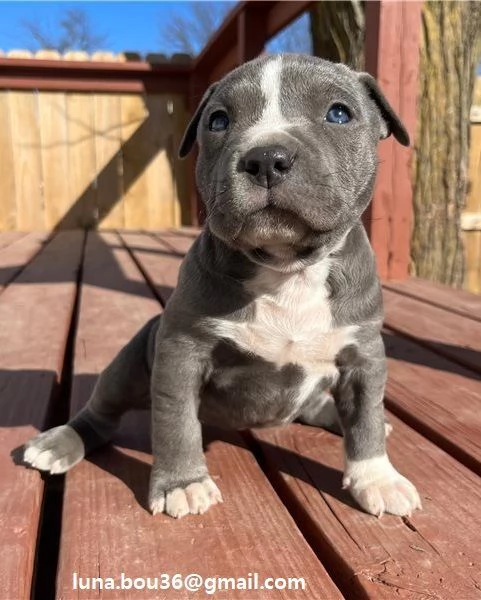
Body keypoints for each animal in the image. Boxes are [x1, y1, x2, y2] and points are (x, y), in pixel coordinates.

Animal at [22, 54, 420, 516]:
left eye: (339, 113)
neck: (288, 268)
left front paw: (377, 478)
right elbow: (175, 421)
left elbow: (366, 418)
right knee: (101, 414)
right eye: (218, 121)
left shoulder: (364, 355)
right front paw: (182, 482)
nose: (267, 157)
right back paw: (58, 442)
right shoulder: (181, 351)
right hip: (129, 365)